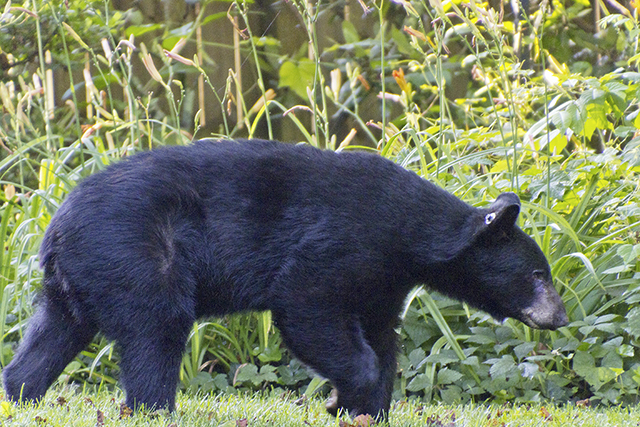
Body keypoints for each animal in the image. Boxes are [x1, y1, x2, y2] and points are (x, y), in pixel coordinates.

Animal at [2, 140, 568, 418]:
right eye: (538, 273)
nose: (561, 317)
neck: (410, 234)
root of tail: (55, 226)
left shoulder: (382, 281)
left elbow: (383, 337)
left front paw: (366, 409)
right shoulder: (342, 241)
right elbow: (307, 306)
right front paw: (345, 397)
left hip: (79, 279)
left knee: (53, 334)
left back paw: (20, 391)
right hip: (136, 252)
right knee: (156, 329)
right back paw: (155, 408)